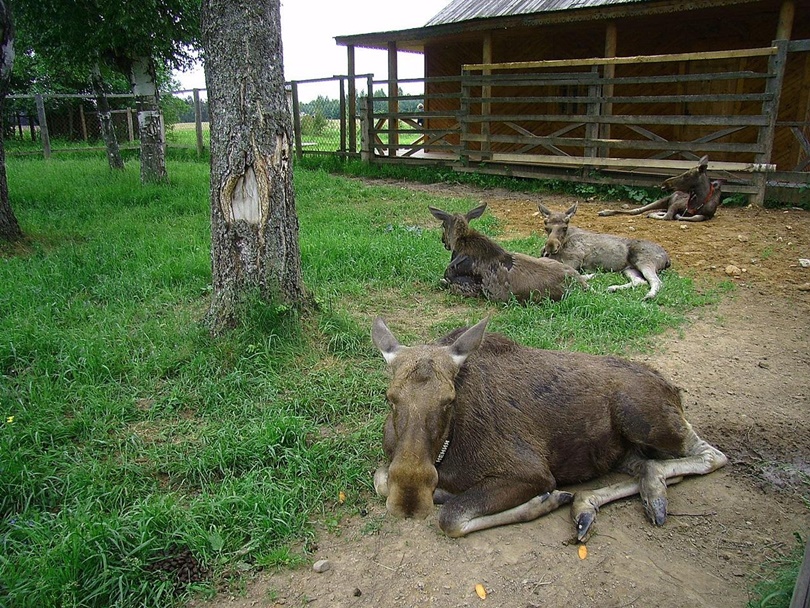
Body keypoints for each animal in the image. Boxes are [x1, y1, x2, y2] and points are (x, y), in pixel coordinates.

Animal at [370, 316, 724, 540]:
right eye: (390, 397)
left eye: (449, 399)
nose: (410, 499)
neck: (447, 451)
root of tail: (671, 387)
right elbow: (381, 479)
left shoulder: (532, 473)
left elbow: (452, 518)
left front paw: (544, 501)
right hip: (618, 450)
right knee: (646, 465)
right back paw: (595, 502)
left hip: (642, 418)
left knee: (710, 454)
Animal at [430, 204, 588, 302]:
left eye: (443, 225)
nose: (443, 241)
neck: (461, 245)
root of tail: (582, 284)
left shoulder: (469, 286)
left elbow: (443, 281)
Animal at [536, 202, 668, 300]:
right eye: (546, 226)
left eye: (565, 227)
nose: (551, 246)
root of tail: (667, 259)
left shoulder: (574, 260)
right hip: (629, 268)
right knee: (640, 281)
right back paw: (612, 288)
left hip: (645, 260)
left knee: (657, 281)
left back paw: (648, 296)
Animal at [592, 156, 720, 222]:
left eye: (687, 175)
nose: (665, 183)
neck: (699, 201)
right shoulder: (676, 205)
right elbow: (668, 216)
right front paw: (655, 215)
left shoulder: (707, 215)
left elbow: (695, 217)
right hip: (663, 200)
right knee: (637, 210)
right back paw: (605, 211)